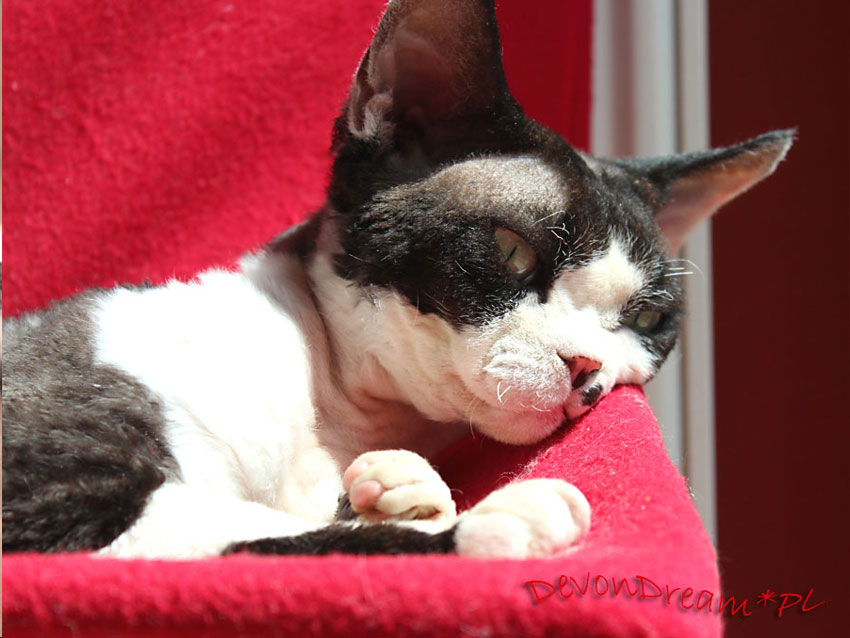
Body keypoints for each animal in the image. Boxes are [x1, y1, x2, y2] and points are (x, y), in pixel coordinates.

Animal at [2, 0, 792, 559]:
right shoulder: (57, 490)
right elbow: (269, 539)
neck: (337, 412)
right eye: (511, 251)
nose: (588, 370)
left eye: (648, 321)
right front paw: (479, 524)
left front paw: (405, 493)